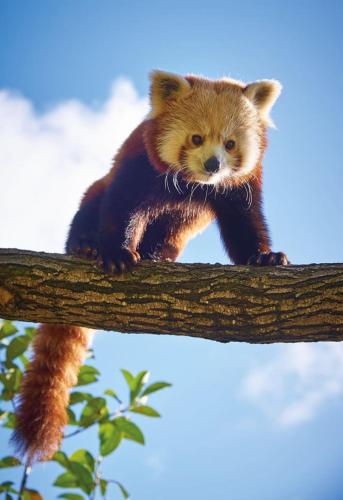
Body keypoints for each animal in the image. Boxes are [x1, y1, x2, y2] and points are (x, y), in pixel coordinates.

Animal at [12, 69, 288, 460]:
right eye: (196, 138)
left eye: (230, 144)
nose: (213, 164)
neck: (191, 183)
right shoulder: (138, 164)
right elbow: (121, 207)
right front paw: (116, 253)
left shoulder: (240, 187)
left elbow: (243, 224)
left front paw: (262, 257)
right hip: (93, 194)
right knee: (93, 201)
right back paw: (85, 245)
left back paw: (157, 253)